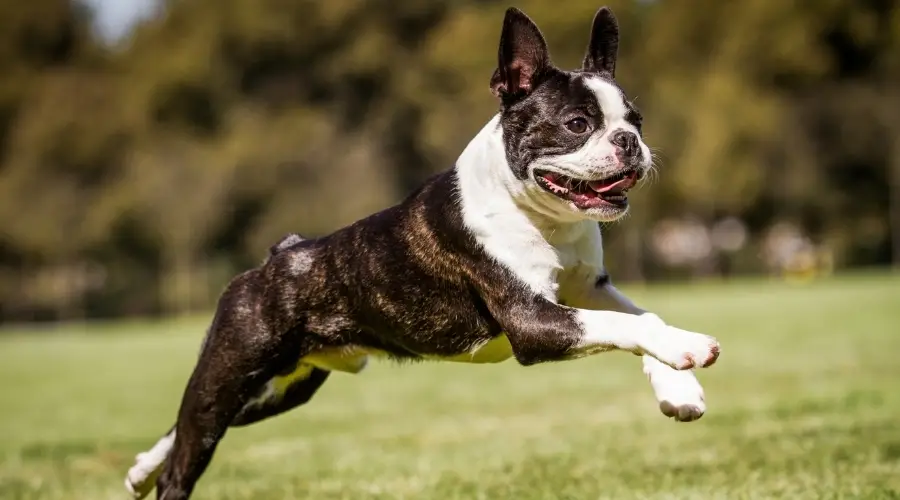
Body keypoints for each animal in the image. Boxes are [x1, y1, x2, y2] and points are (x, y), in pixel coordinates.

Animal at [126, 5, 720, 498]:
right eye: (578, 125)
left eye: (636, 122)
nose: (630, 143)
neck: (543, 218)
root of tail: (280, 255)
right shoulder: (533, 321)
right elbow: (628, 326)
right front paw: (689, 350)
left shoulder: (589, 290)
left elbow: (644, 317)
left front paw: (679, 386)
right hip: (230, 371)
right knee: (187, 452)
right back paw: (160, 476)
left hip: (280, 389)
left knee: (184, 429)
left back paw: (140, 468)